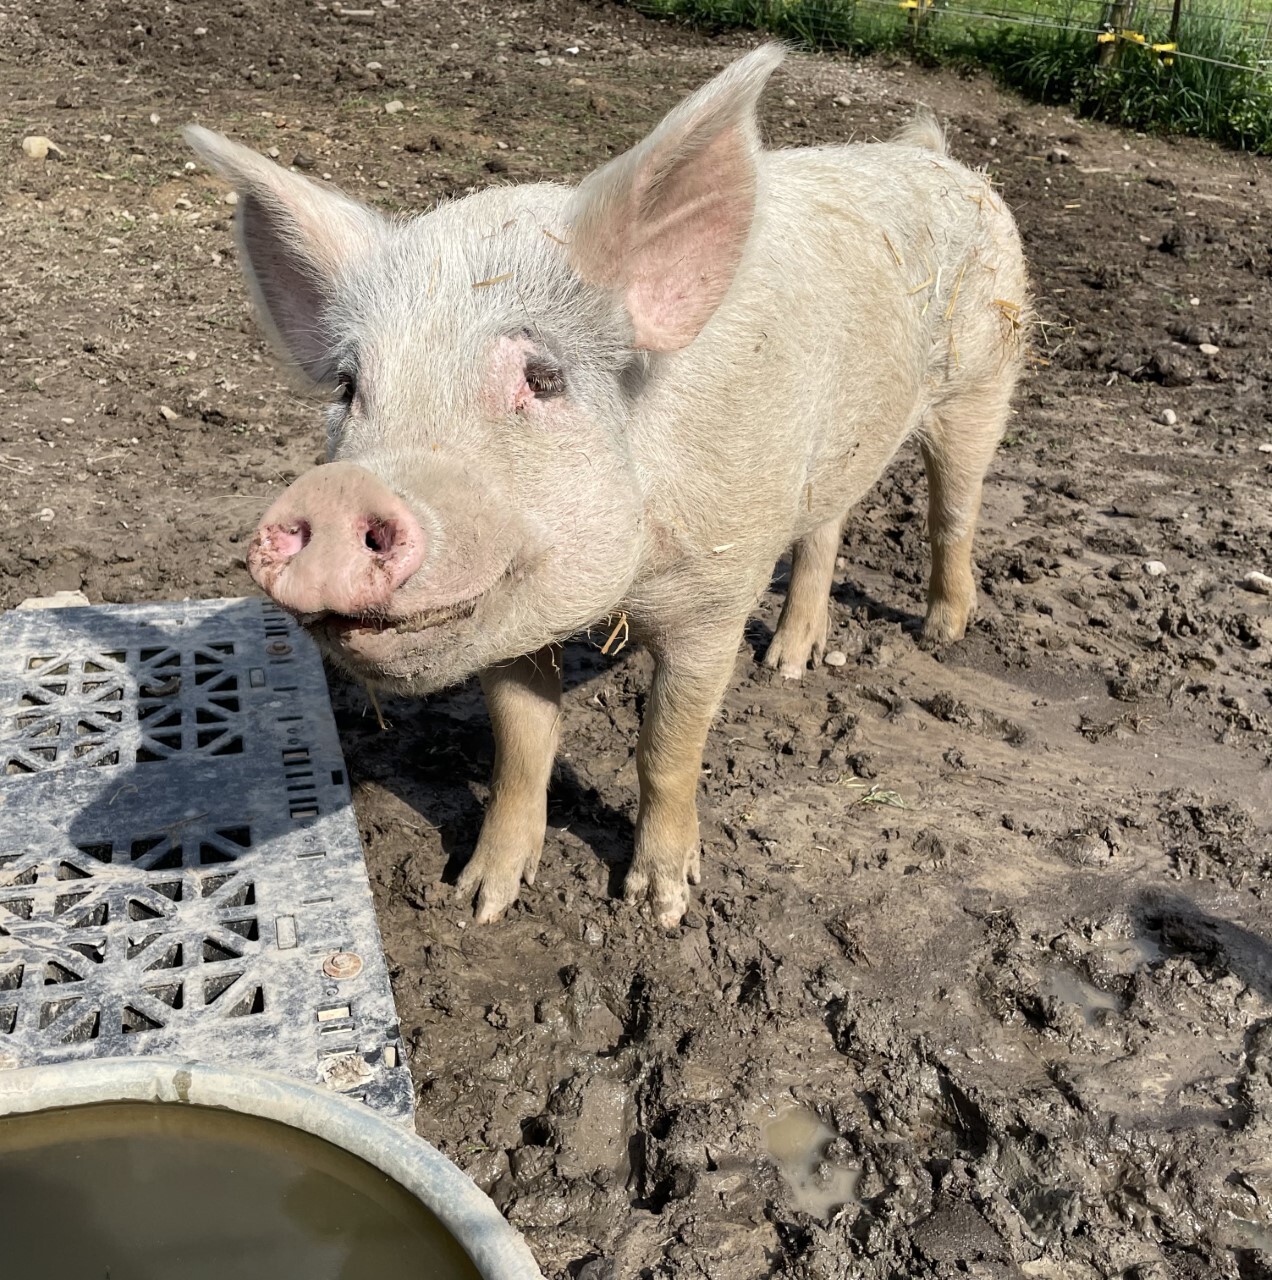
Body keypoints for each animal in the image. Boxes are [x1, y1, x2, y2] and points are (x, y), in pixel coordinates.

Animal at [186, 44, 1029, 929]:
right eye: (349, 386)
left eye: (543, 378)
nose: (339, 492)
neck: (623, 594)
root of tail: (934, 155)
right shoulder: (511, 614)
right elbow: (522, 744)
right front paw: (480, 900)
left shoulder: (716, 596)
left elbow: (668, 745)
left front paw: (659, 907)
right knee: (826, 526)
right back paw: (787, 664)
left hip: (985, 382)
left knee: (955, 506)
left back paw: (941, 632)